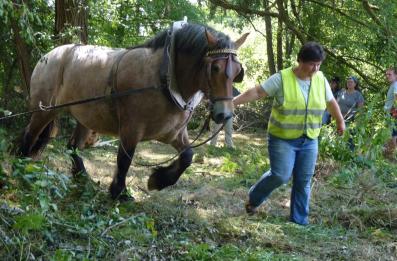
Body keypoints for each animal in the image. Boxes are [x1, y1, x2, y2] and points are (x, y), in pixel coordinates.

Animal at [20, 23, 248, 199]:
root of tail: (49, 55)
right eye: (215, 68)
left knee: (72, 147)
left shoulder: (173, 133)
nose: (224, 115)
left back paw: (82, 176)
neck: (165, 77)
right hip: (45, 110)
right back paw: (21, 163)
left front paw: (158, 180)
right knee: (30, 134)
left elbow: (188, 156)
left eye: (238, 71)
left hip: (85, 117)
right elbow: (124, 160)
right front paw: (119, 192)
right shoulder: (131, 129)